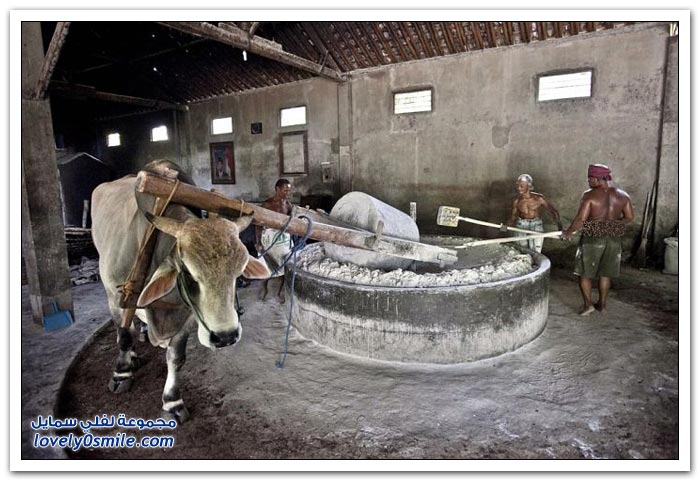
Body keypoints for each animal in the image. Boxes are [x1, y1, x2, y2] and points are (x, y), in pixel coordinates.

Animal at [91, 160, 270, 422]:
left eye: (239, 274)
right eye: (187, 272)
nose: (226, 337)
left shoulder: (187, 315)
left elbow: (176, 358)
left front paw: (172, 402)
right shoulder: (115, 297)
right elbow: (124, 336)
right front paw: (121, 374)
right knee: (126, 329)